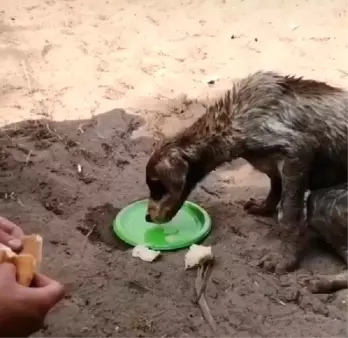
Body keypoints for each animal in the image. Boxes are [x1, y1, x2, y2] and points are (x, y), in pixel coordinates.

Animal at [145, 70, 348, 276]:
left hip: (323, 201)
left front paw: (285, 259)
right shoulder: (273, 164)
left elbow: (288, 215)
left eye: (158, 188)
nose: (147, 218)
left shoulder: (296, 153)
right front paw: (264, 207)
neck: (229, 121)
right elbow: (275, 185)